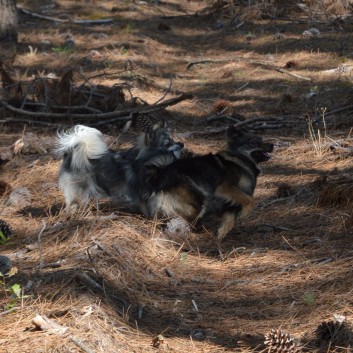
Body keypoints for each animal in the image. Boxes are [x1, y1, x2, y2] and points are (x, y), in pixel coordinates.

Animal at [55, 122, 184, 213]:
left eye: (173, 139)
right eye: (167, 143)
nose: (182, 144)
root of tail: (71, 154)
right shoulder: (142, 192)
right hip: (80, 187)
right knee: (74, 202)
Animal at [143, 125, 272, 241]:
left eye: (261, 139)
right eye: (253, 142)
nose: (272, 145)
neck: (240, 159)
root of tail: (159, 179)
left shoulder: (229, 203)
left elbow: (230, 221)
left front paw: (221, 234)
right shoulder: (225, 188)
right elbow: (250, 200)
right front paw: (246, 212)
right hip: (197, 201)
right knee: (188, 222)